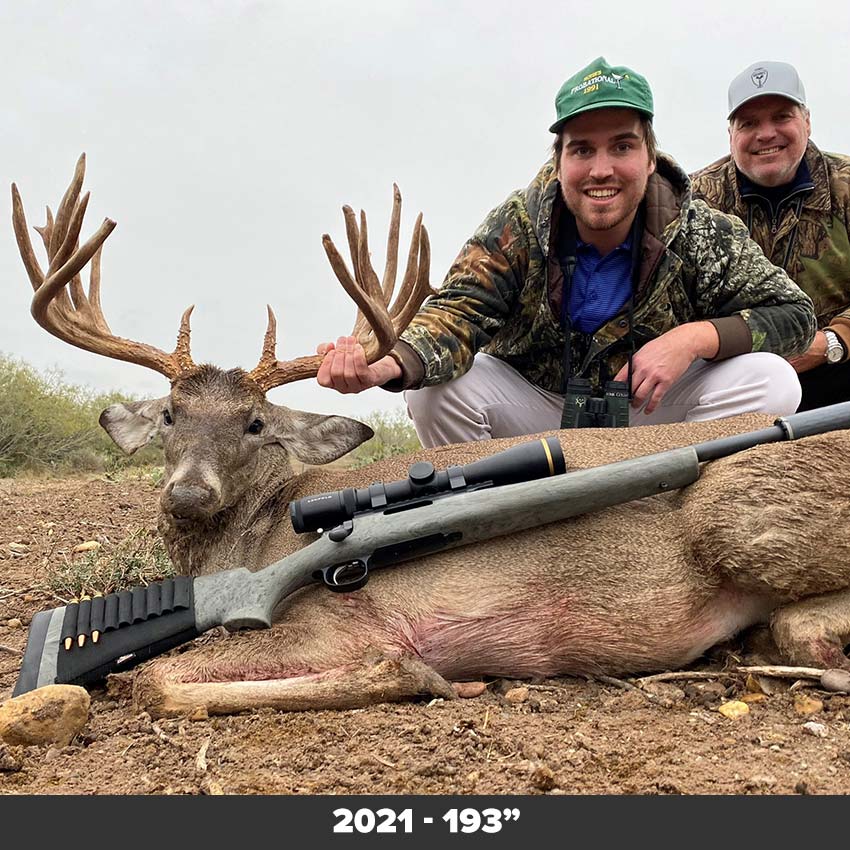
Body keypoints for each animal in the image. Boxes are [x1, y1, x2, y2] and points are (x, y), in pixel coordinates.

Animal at [11, 155, 850, 718]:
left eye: (255, 424)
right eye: (168, 416)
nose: (187, 494)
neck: (248, 546)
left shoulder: (331, 623)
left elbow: (153, 679)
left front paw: (423, 675)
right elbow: (153, 675)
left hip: (736, 515)